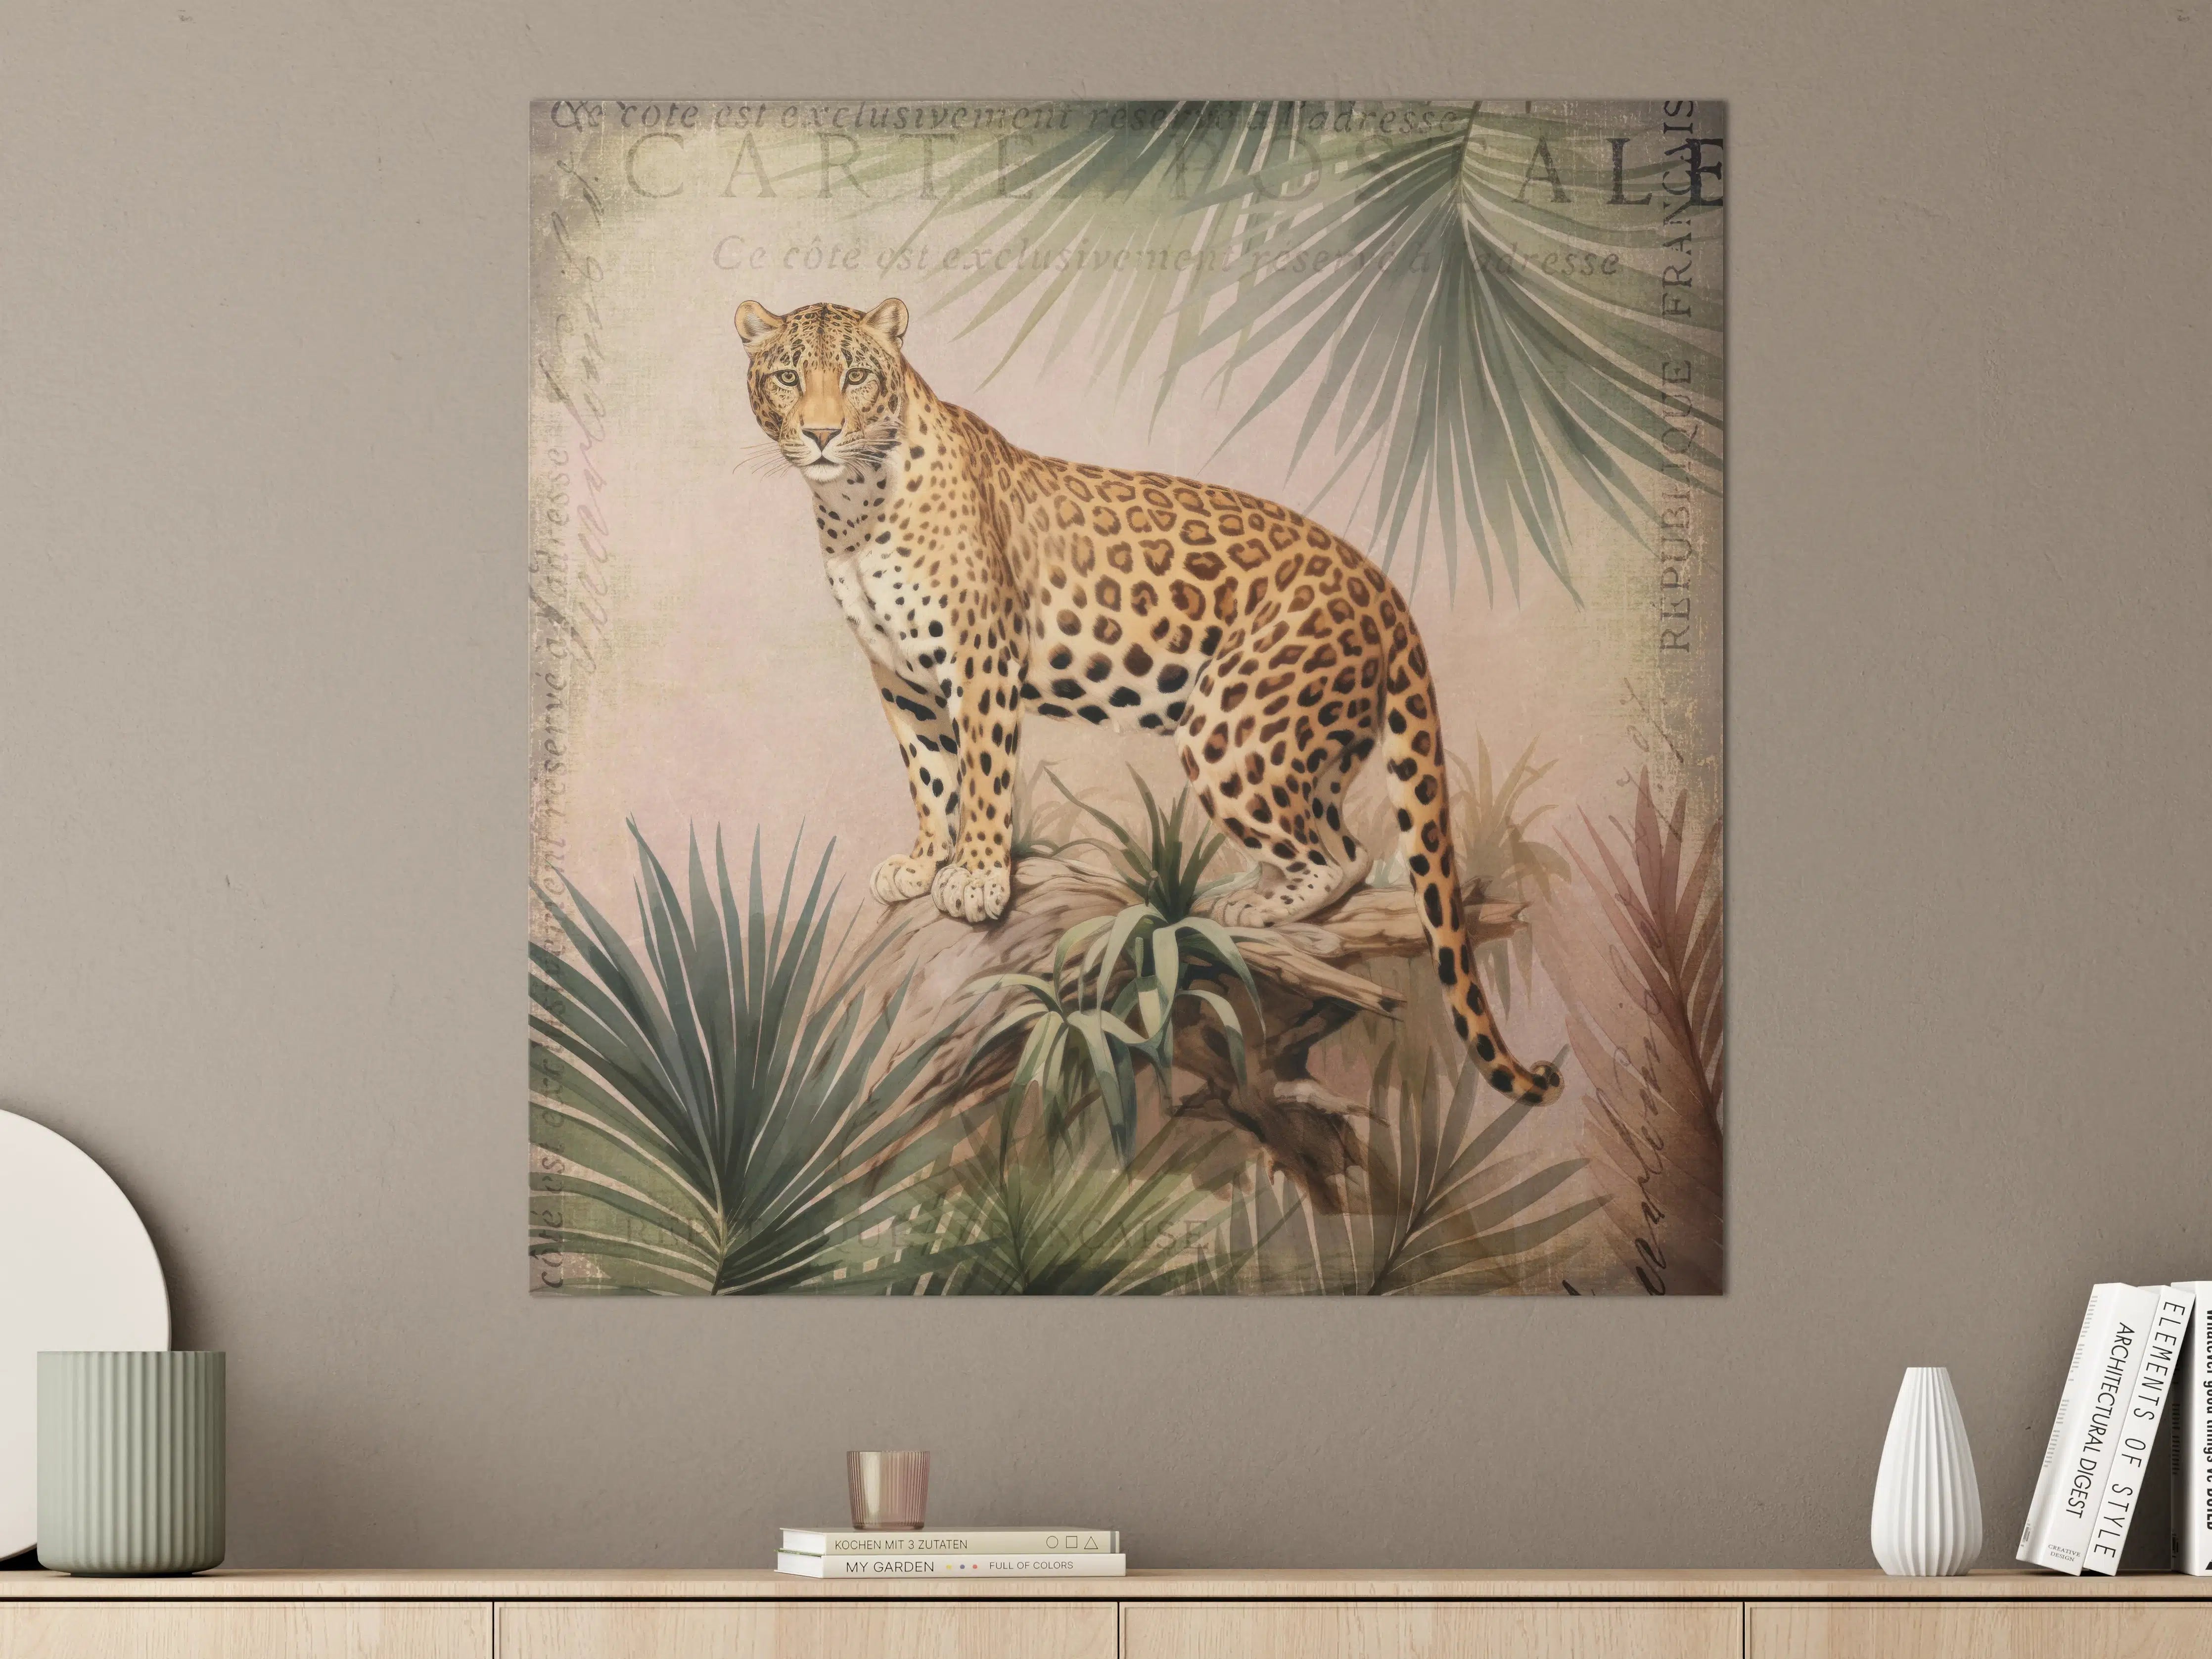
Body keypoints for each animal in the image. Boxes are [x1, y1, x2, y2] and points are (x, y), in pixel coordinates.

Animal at [734, 296, 1563, 1105]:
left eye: (857, 375)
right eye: (787, 377)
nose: (821, 433)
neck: (853, 509)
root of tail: (1384, 587)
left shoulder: (981, 663)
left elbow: (984, 778)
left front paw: (978, 877)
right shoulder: (902, 680)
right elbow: (933, 779)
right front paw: (925, 860)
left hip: (1233, 727)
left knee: (1335, 855)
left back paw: (1253, 906)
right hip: (1307, 741)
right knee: (1347, 847)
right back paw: (1253, 887)